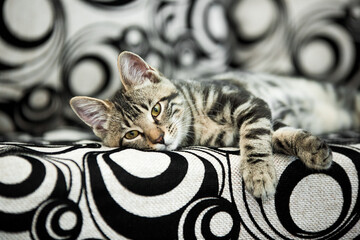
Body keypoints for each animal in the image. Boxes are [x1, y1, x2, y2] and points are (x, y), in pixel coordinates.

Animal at [69, 51, 358, 200]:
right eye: (132, 134)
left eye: (156, 110)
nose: (159, 137)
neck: (196, 122)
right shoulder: (249, 124)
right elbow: (274, 135)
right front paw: (308, 150)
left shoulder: (250, 102)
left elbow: (255, 136)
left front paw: (258, 173)